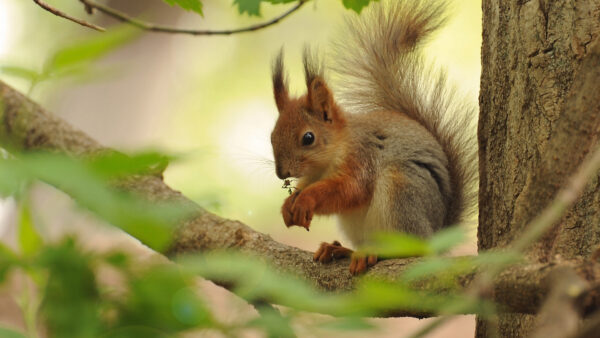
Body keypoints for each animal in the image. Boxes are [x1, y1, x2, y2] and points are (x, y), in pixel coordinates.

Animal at [270, 0, 476, 274]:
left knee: (409, 248)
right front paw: (288, 205)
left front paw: (306, 199)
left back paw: (373, 253)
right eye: (272, 136)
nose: (281, 173)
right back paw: (341, 250)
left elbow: (349, 189)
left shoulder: (362, 157)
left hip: (402, 193)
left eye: (308, 138)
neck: (330, 157)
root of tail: (436, 237)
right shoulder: (314, 175)